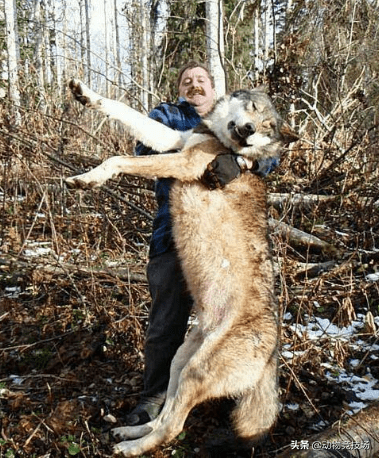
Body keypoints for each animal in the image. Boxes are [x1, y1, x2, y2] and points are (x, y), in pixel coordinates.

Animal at [65, 81, 298, 458]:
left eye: (268, 127)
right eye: (252, 109)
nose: (248, 131)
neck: (220, 140)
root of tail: (272, 356)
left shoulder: (184, 161)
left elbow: (120, 159)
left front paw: (89, 180)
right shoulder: (173, 140)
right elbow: (123, 112)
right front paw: (85, 95)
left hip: (195, 372)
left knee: (172, 427)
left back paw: (129, 448)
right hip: (180, 361)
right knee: (164, 414)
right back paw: (130, 431)